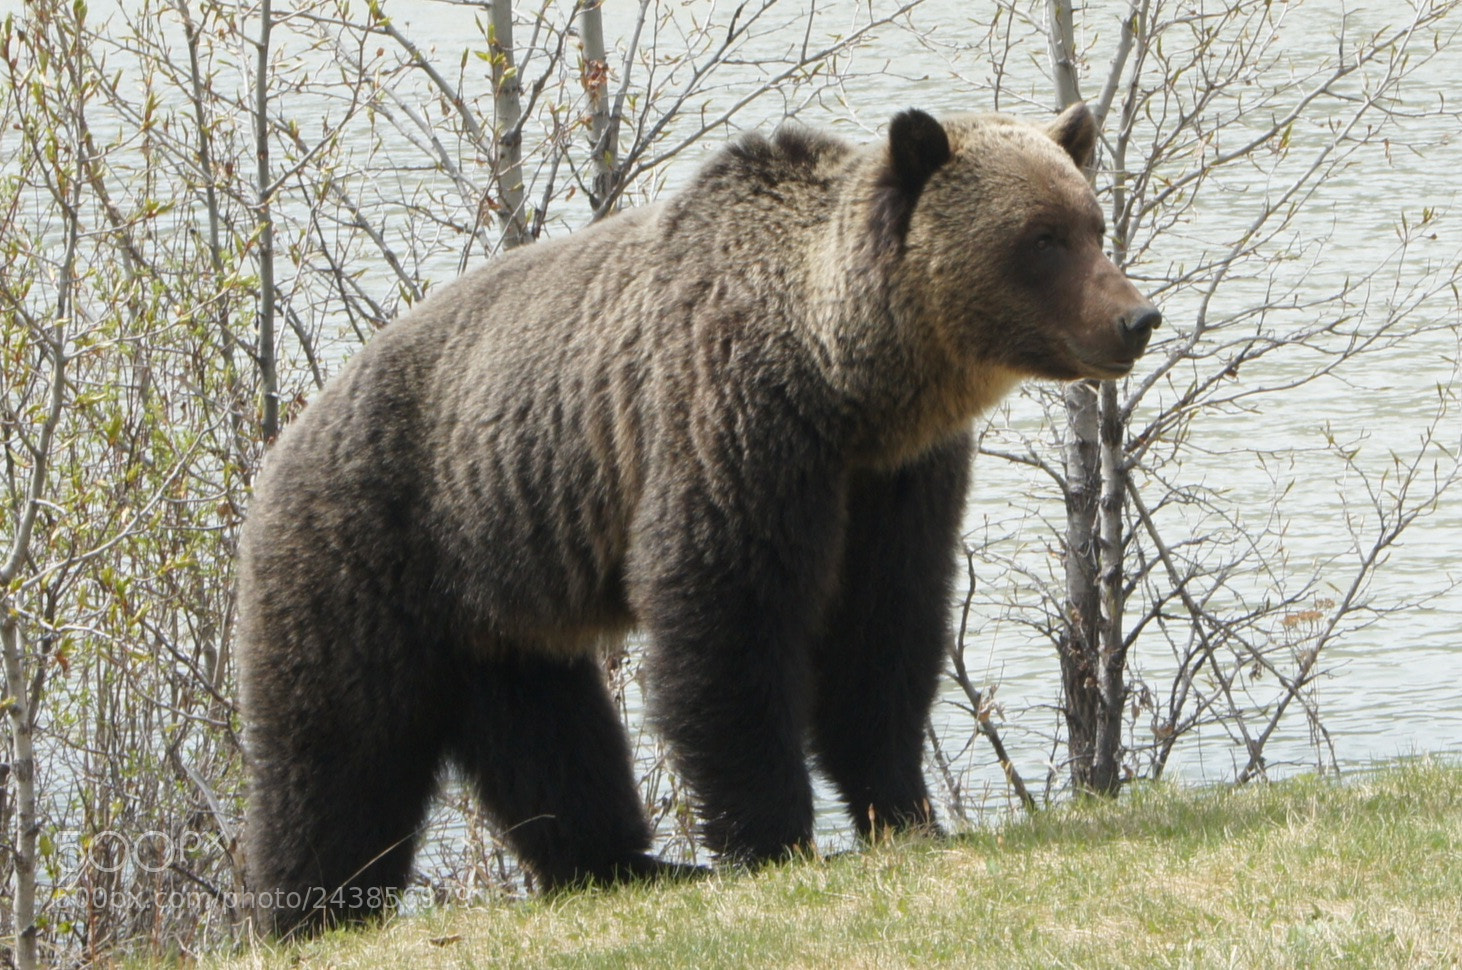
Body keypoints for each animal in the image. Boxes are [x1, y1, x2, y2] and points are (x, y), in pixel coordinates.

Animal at [236, 102, 1152, 936]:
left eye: (1092, 223)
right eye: (1042, 238)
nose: (1137, 319)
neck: (846, 388)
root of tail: (280, 448)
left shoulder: (895, 485)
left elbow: (882, 637)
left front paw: (905, 813)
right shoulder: (734, 425)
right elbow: (727, 620)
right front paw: (774, 837)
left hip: (498, 604)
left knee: (548, 737)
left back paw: (629, 864)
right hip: (372, 551)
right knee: (341, 754)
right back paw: (310, 912)